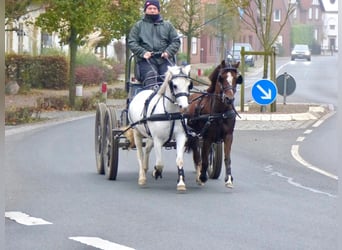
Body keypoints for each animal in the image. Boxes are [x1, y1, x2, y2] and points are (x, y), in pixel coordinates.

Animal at [187, 59, 240, 187]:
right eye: (221, 78)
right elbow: (205, 159)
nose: (229, 99)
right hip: (194, 136)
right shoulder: (207, 137)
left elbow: (227, 158)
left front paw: (229, 179)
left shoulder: (228, 136)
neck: (220, 113)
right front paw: (202, 176)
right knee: (198, 155)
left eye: (236, 78)